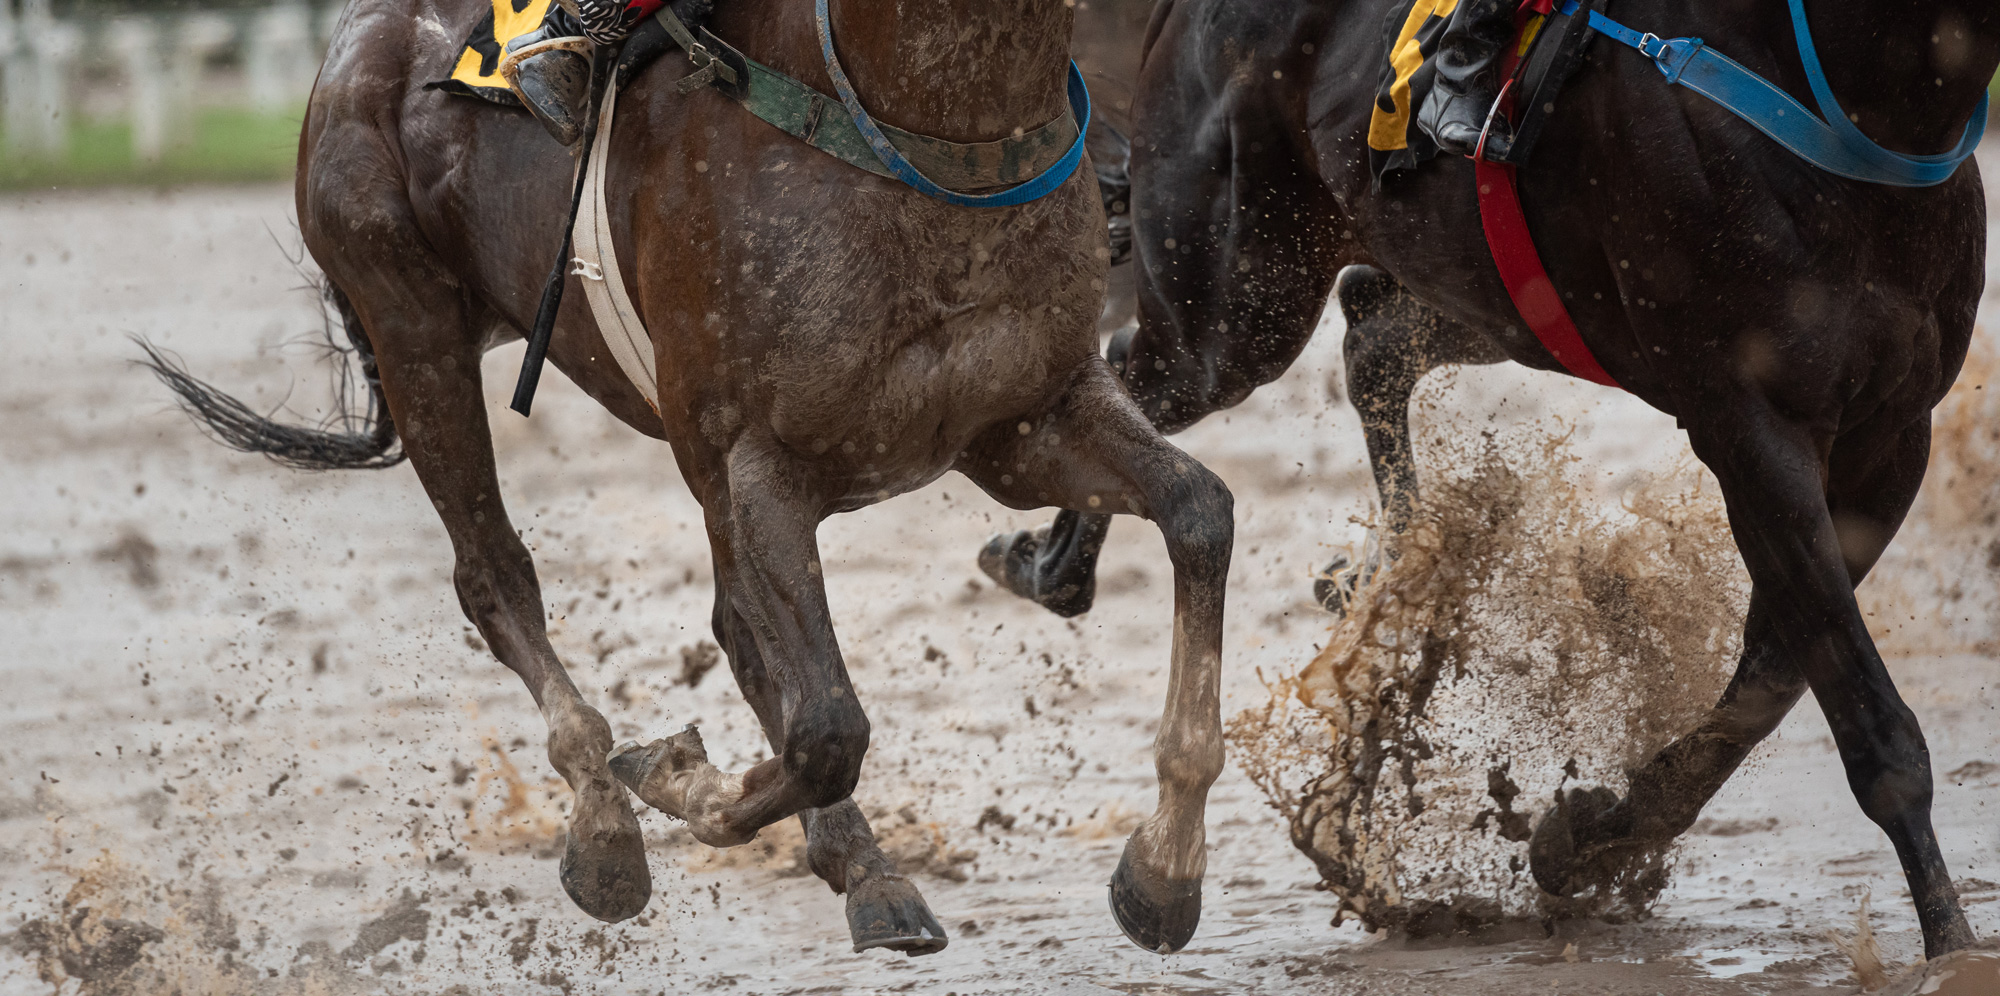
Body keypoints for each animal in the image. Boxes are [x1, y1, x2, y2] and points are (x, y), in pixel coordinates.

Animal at [141, 0, 1224, 956]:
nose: (1129, 179)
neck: (917, 127)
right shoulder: (758, 461)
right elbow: (827, 724)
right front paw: (671, 778)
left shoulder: (1021, 420)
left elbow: (1197, 513)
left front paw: (1162, 871)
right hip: (413, 327)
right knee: (496, 574)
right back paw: (607, 829)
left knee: (737, 636)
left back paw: (860, 869)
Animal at [988, 0, 2000, 956]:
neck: (1852, 93)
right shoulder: (1751, 426)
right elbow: (1865, 720)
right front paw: (1949, 944)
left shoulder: (1889, 438)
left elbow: (1771, 676)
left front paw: (1592, 836)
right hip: (1240, 301)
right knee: (1131, 362)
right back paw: (1058, 567)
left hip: (1494, 296)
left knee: (1369, 328)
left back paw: (1390, 556)